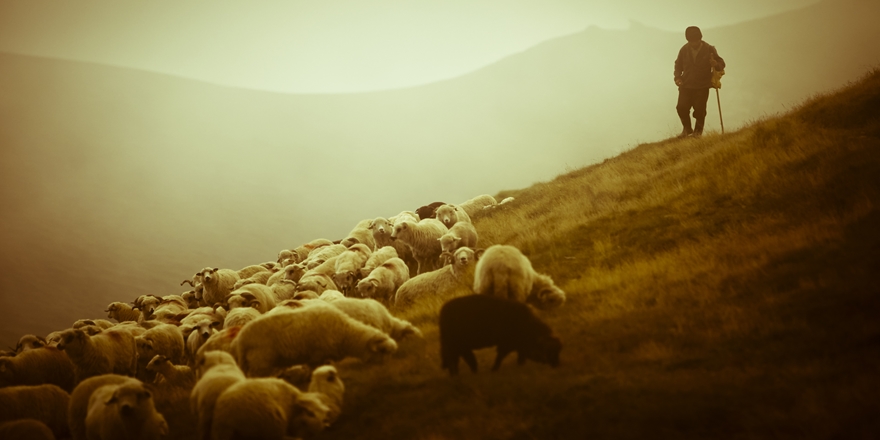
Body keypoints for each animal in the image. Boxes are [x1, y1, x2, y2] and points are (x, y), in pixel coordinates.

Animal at [234, 300, 398, 376]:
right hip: (260, 363)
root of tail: (242, 339)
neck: (346, 333)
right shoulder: (316, 356)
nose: (388, 369)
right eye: (383, 351)